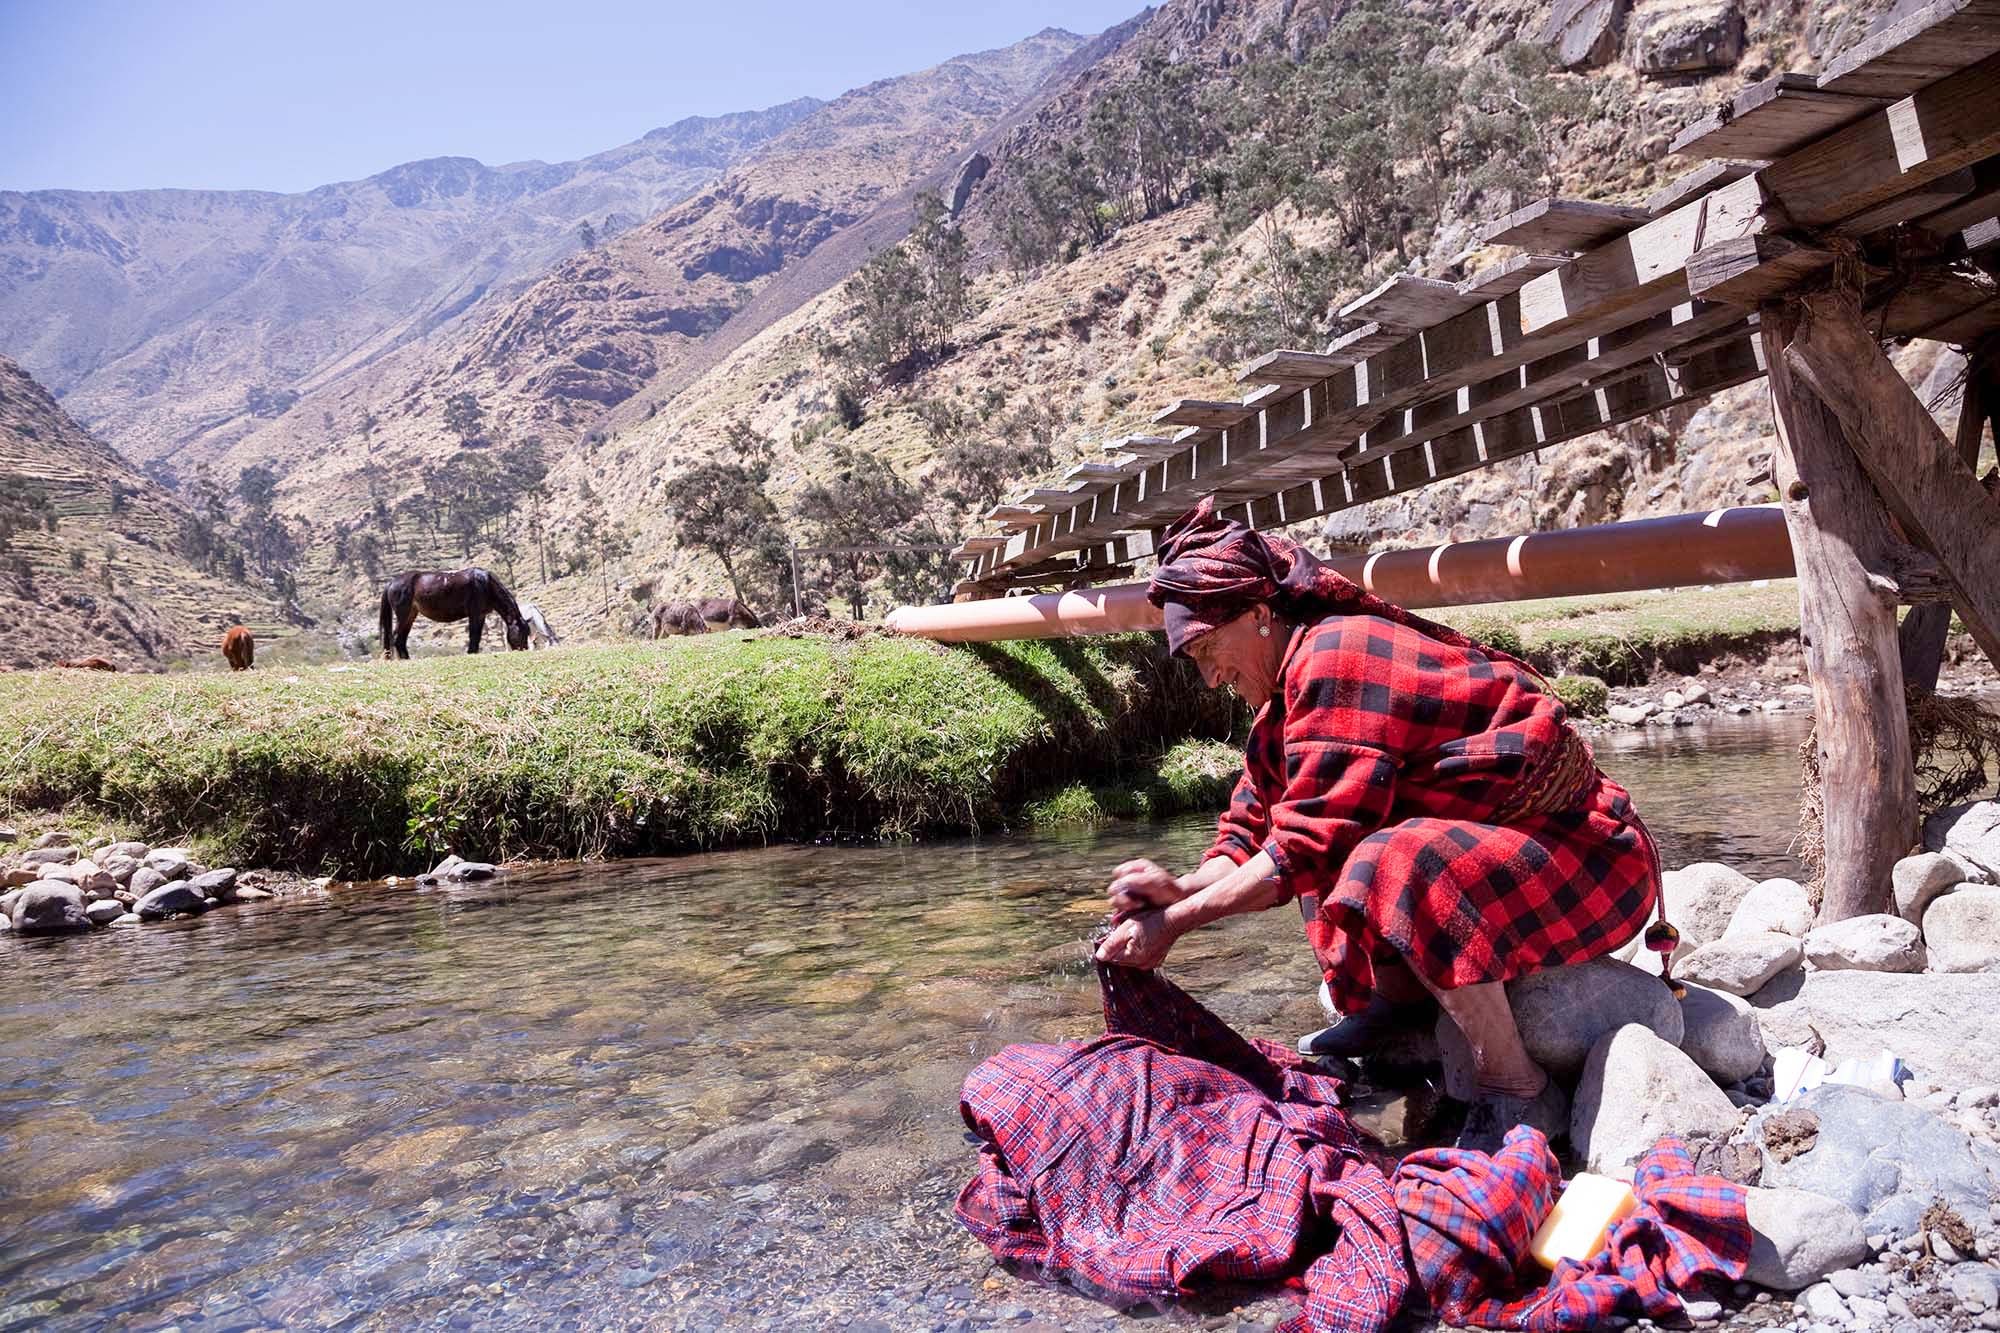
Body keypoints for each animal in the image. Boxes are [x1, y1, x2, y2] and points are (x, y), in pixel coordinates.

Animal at [380, 564, 532, 660]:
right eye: (521, 633)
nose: (524, 650)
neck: (486, 584)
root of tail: (391, 582)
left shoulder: (481, 615)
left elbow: (477, 635)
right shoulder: (475, 614)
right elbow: (474, 634)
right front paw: (471, 652)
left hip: (410, 615)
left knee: (401, 639)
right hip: (403, 615)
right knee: (395, 637)